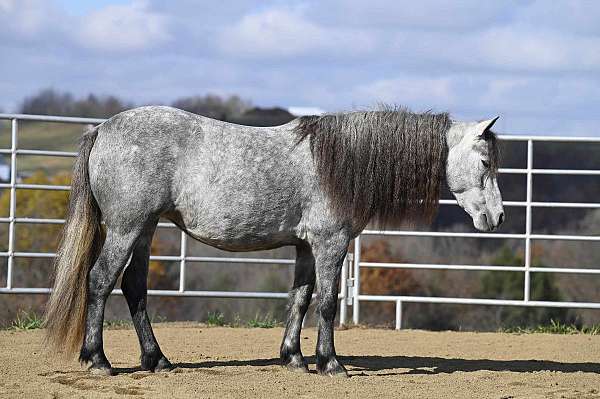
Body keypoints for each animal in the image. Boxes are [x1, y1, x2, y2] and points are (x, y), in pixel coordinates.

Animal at [42, 105, 504, 378]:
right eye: (485, 162)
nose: (497, 217)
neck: (339, 162)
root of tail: (102, 128)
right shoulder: (330, 243)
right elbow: (327, 302)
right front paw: (330, 363)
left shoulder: (305, 247)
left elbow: (299, 298)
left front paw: (294, 357)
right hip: (126, 227)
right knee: (100, 281)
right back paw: (98, 360)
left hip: (145, 229)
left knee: (134, 287)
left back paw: (156, 360)